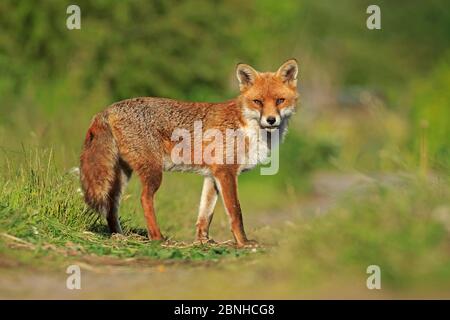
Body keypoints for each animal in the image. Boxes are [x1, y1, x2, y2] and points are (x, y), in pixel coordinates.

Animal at [81, 58, 298, 246]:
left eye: (280, 100)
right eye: (258, 102)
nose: (271, 120)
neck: (246, 127)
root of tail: (107, 109)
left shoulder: (212, 175)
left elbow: (205, 214)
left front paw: (203, 241)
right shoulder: (226, 172)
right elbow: (236, 212)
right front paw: (243, 242)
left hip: (122, 175)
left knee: (111, 205)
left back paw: (119, 236)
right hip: (153, 172)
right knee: (144, 199)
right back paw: (157, 237)